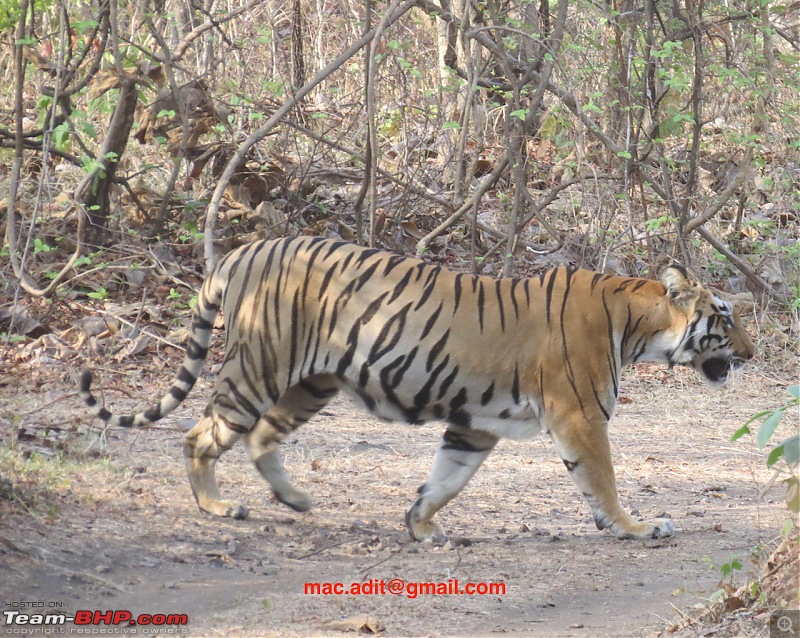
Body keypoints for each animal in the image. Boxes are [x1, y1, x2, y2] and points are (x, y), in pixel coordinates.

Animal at [81, 238, 756, 544]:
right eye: (725, 317)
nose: (752, 354)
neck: (639, 325)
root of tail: (242, 249)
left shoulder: (475, 423)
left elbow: (446, 478)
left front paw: (420, 527)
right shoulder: (580, 414)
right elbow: (603, 478)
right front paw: (635, 527)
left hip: (311, 383)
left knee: (261, 437)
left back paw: (295, 499)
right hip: (260, 367)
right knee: (203, 432)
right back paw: (216, 507)